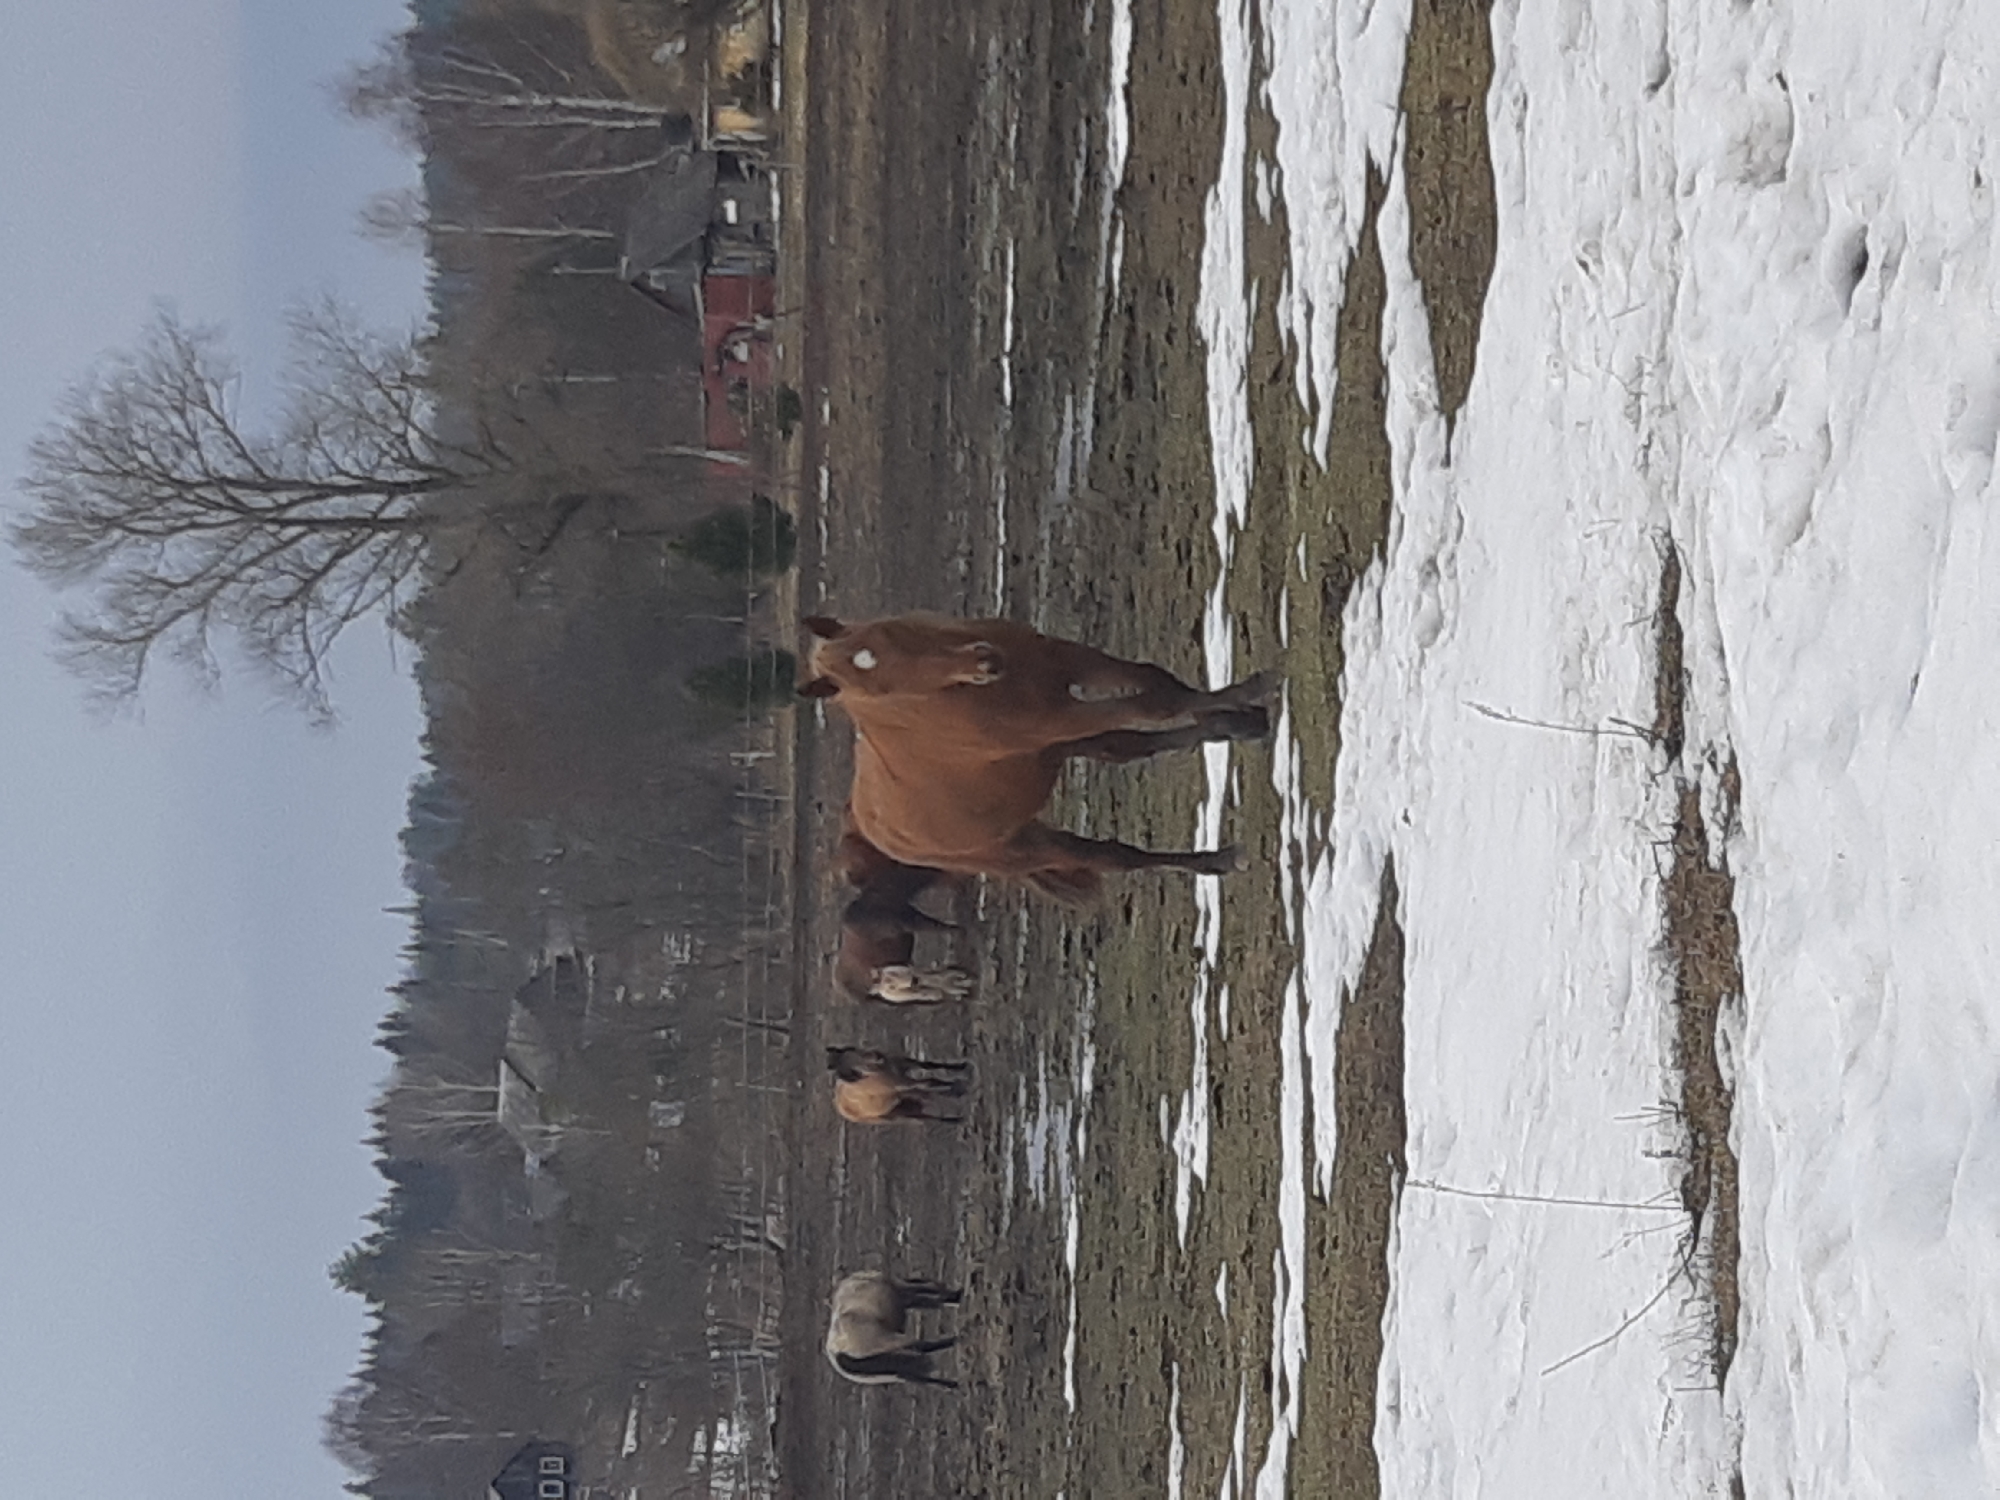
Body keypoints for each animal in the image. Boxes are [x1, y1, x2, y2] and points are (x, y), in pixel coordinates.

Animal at [801, 613, 1272, 899]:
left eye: (889, 634)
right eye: (883, 689)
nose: (985, 661)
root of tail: (872, 831)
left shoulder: (1068, 663)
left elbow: (1156, 681)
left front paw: (1244, 704)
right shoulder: (1058, 721)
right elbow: (1158, 703)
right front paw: (1251, 696)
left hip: (1052, 755)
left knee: (1123, 748)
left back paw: (1232, 728)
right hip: (1027, 846)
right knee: (1115, 857)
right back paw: (1218, 859)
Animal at [825, 1271, 961, 1388]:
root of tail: (834, 1350)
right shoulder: (904, 1293)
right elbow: (933, 1298)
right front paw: (957, 1297)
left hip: (889, 1368)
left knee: (910, 1375)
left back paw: (951, 1385)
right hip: (891, 1341)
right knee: (920, 1346)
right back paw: (955, 1340)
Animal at [827, 1046, 970, 1125]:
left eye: (852, 1050)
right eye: (852, 1069)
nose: (876, 1056)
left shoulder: (904, 1066)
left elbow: (928, 1065)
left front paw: (961, 1067)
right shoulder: (902, 1084)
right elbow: (928, 1083)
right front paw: (956, 1089)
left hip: (903, 1106)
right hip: (894, 1116)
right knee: (922, 1119)